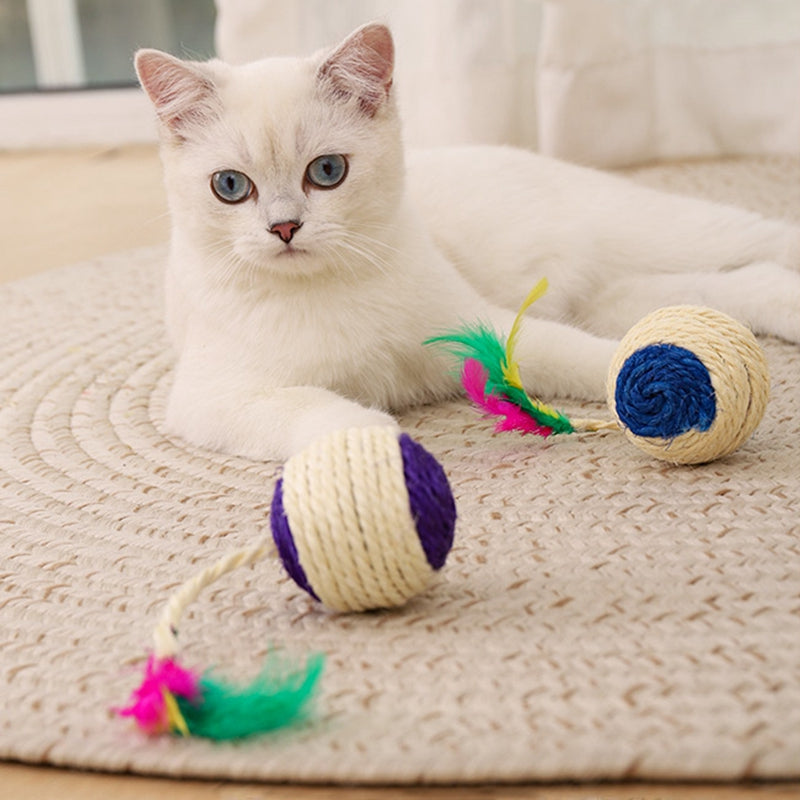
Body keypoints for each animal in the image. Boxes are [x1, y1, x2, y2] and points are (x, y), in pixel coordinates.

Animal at [134, 21, 796, 460]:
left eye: (326, 172)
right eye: (230, 186)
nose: (284, 227)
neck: (330, 289)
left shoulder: (484, 322)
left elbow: (585, 356)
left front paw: (655, 388)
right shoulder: (214, 398)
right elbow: (309, 409)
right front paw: (377, 445)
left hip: (656, 233)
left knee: (765, 241)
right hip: (618, 290)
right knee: (735, 284)